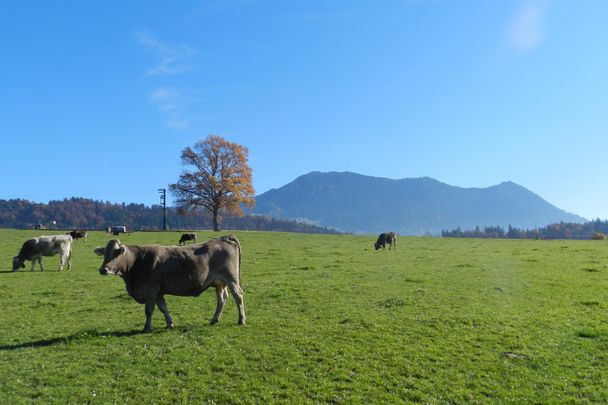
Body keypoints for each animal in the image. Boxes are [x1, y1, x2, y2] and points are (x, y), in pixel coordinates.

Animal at [93, 234, 245, 332]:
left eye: (116, 253)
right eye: (104, 253)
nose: (103, 269)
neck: (136, 261)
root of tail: (223, 238)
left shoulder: (151, 290)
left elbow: (149, 310)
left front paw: (147, 327)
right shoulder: (158, 292)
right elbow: (163, 307)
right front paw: (169, 323)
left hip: (232, 279)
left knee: (238, 296)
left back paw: (241, 319)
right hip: (219, 283)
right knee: (222, 298)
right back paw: (214, 319)